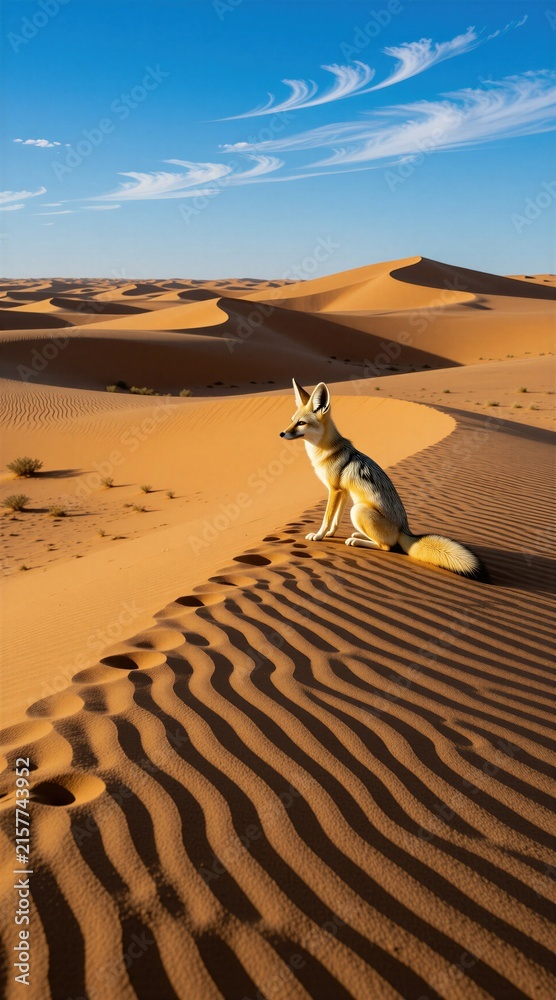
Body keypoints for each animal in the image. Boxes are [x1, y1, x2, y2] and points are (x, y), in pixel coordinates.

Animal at [280, 378, 488, 581]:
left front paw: (319, 535)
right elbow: (336, 519)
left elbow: (327, 518)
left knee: (386, 546)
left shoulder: (334, 490)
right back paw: (358, 535)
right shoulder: (343, 491)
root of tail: (405, 529)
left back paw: (356, 541)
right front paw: (330, 534)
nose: (281, 433)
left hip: (358, 510)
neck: (326, 450)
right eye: (292, 421)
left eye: (301, 423)